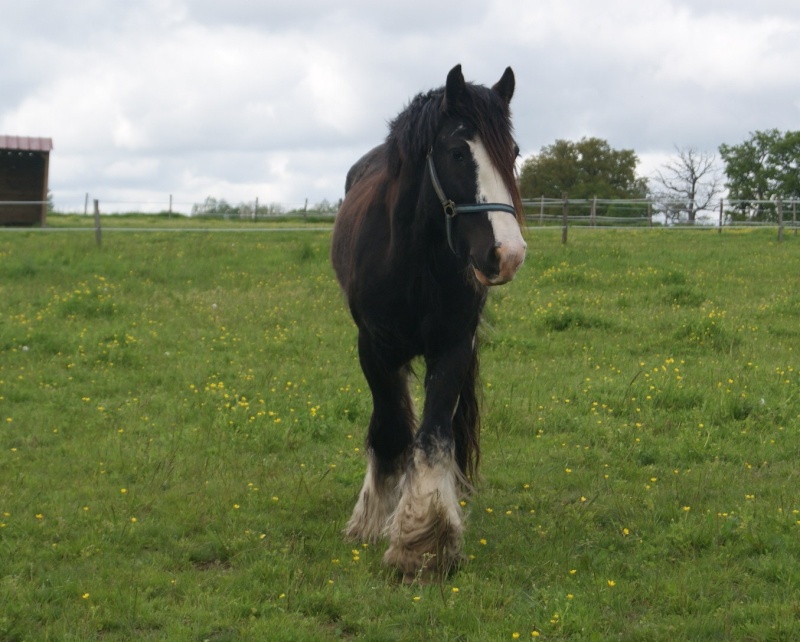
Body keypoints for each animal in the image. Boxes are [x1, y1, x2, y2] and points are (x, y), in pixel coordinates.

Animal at [330, 65, 524, 580]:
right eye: (457, 152)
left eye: (513, 153)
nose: (509, 254)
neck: (414, 259)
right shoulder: (373, 348)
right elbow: (391, 429)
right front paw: (373, 520)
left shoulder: (454, 346)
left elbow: (434, 435)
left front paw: (424, 541)